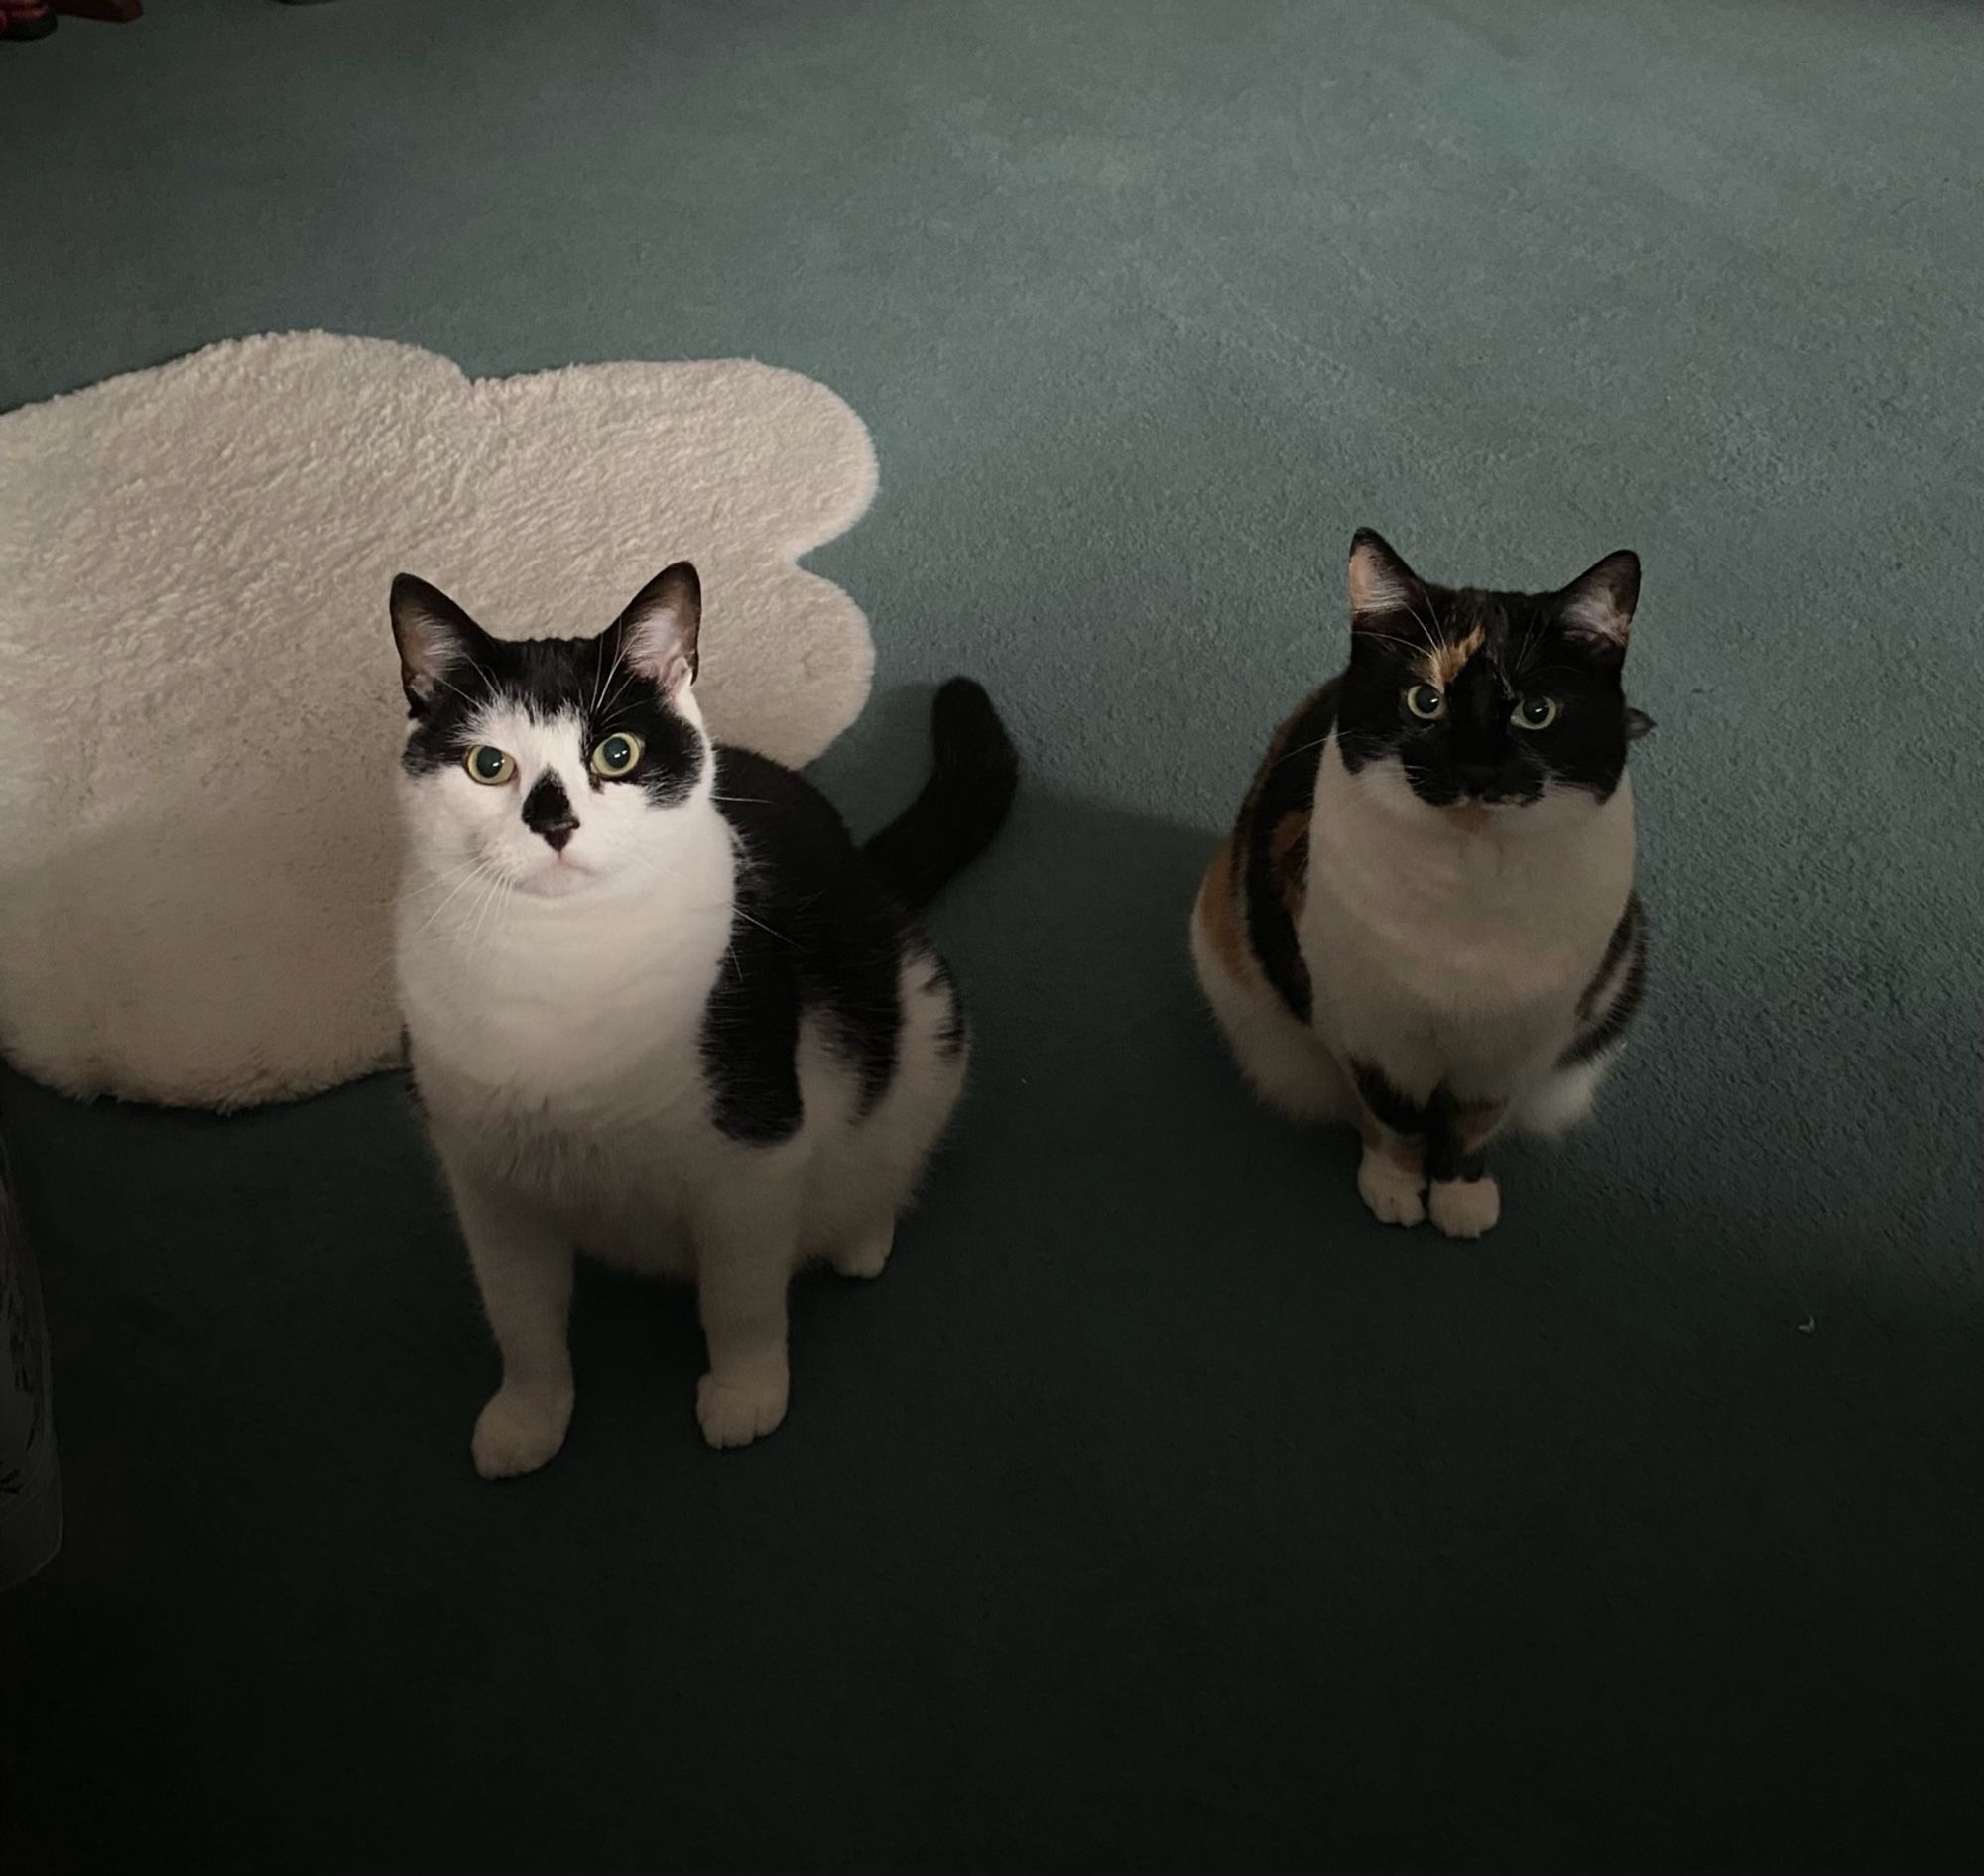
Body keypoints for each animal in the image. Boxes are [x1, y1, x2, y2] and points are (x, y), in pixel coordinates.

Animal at [387, 563, 1016, 1467]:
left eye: (617, 753)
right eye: (487, 763)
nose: (554, 822)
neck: (559, 958)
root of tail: (867, 870)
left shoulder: (751, 1156)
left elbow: (740, 1298)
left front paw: (746, 1394)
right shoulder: (488, 1182)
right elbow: (522, 1314)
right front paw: (528, 1419)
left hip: (928, 1024)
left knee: (888, 1149)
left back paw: (860, 1235)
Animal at [1198, 527, 1651, 1237]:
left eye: (1537, 712)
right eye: (1425, 701)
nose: (1475, 768)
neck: (1469, 884)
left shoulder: (1518, 1045)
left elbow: (1476, 1122)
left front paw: (1461, 1199)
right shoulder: (1371, 1031)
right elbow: (1390, 1115)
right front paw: (1394, 1188)